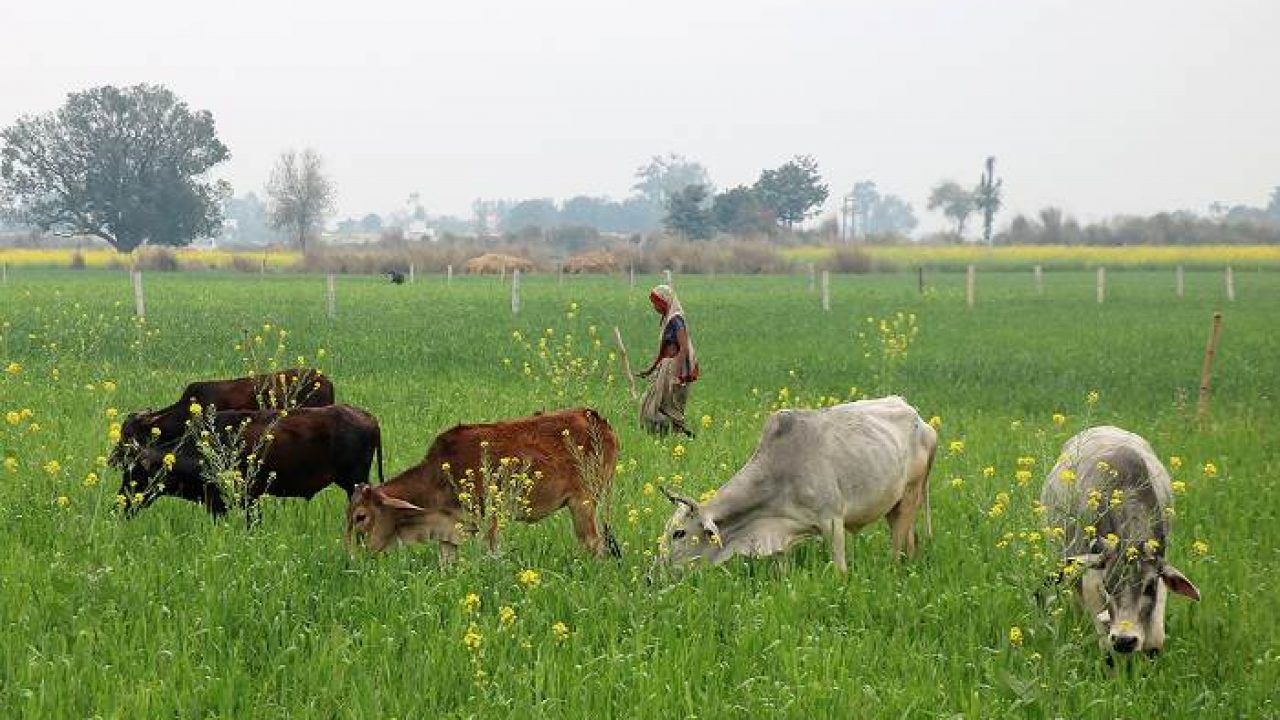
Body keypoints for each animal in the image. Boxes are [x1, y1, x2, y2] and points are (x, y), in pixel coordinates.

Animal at [343, 407, 616, 558]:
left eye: (361, 516)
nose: (353, 557)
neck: (437, 476)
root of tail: (598, 419)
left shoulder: (490, 520)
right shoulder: (448, 531)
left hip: (583, 503)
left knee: (594, 544)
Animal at [655, 392, 936, 571]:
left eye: (679, 533)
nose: (653, 574)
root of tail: (919, 418)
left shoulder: (832, 520)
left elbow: (840, 570)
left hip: (911, 493)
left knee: (898, 547)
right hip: (894, 504)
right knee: (911, 540)